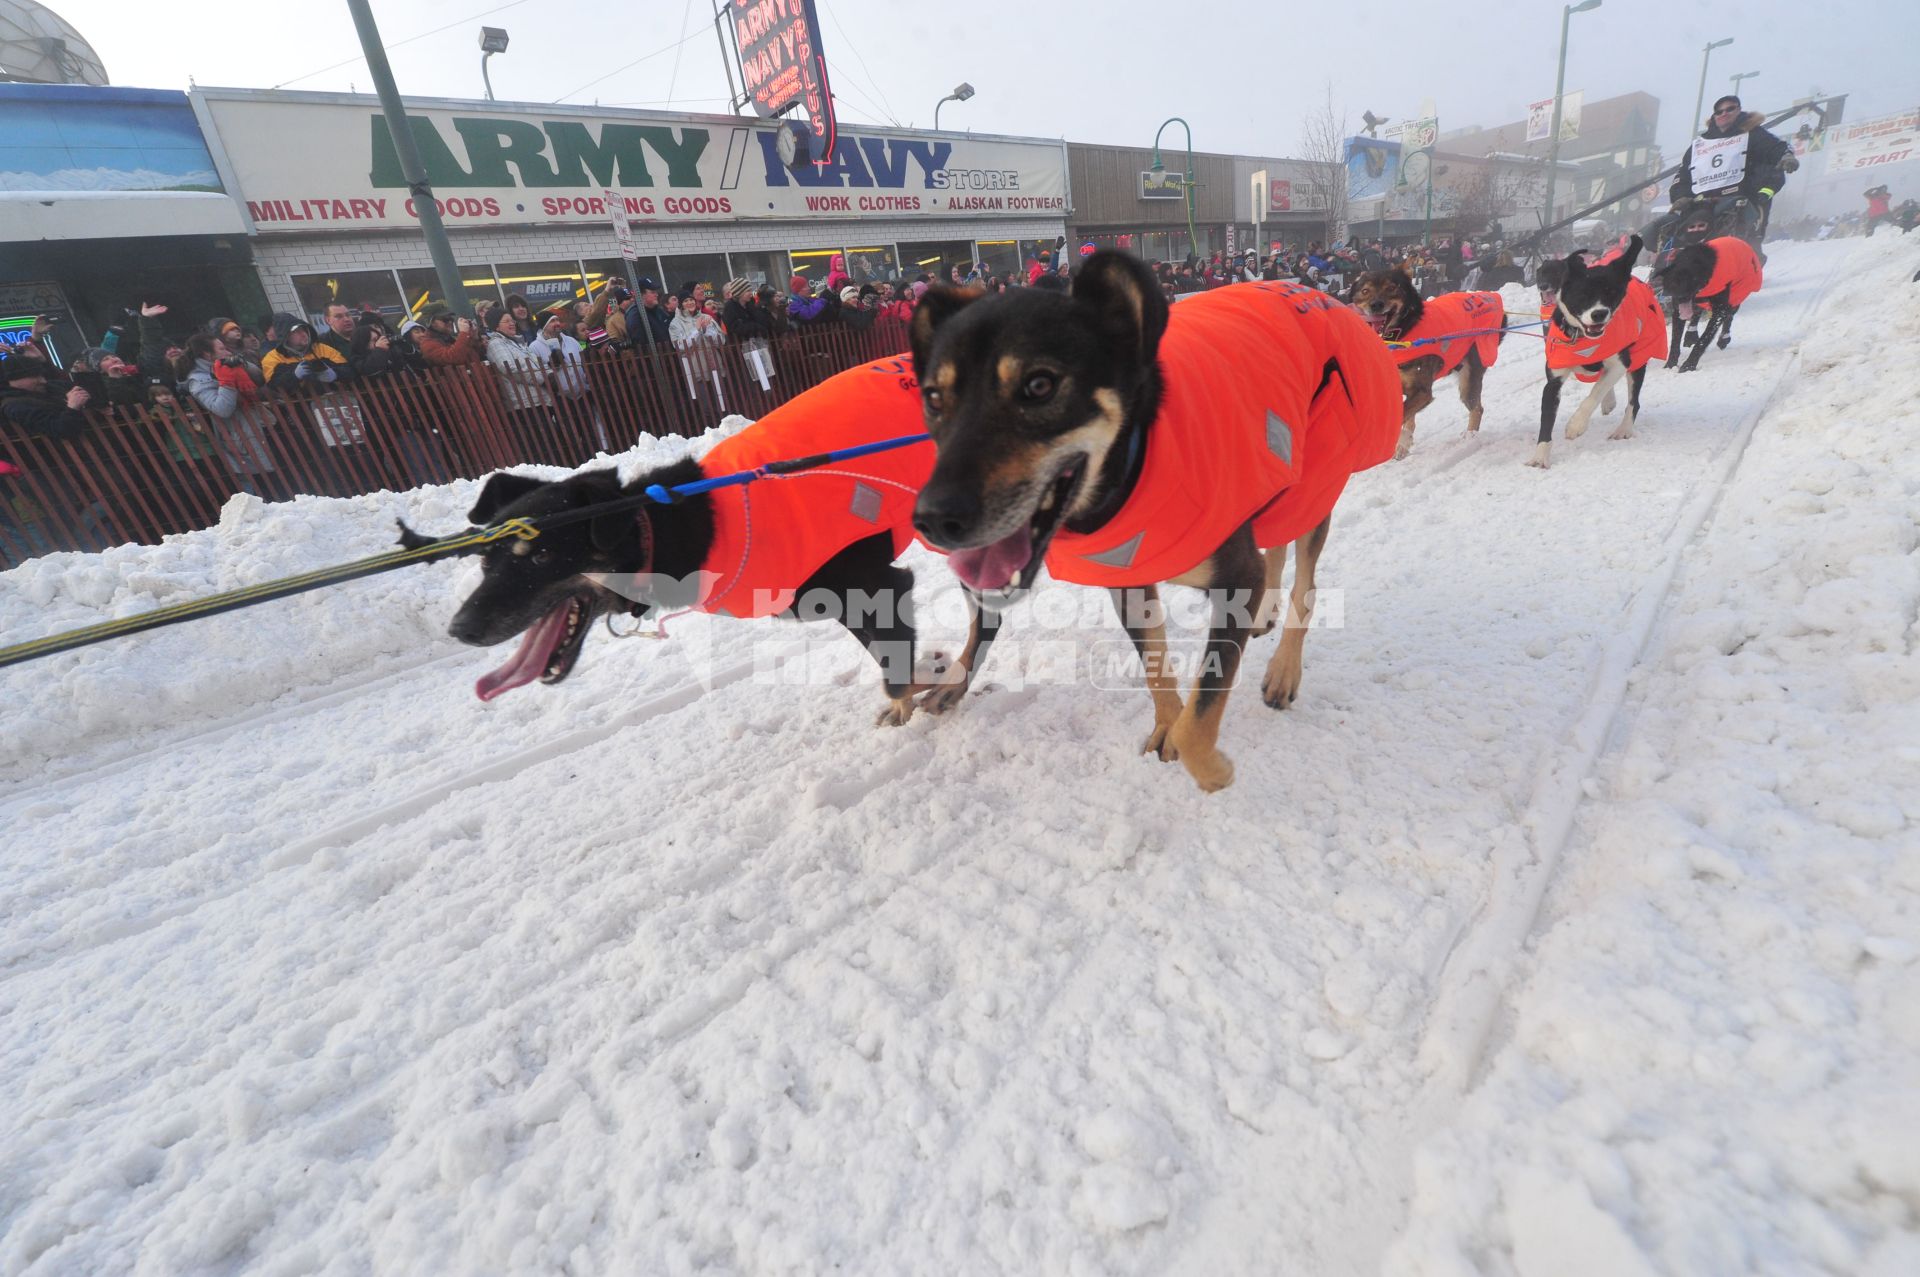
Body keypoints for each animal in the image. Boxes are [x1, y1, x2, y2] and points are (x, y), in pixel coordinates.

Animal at [898, 247, 1397, 787]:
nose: (933, 518)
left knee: (1306, 584)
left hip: (1317, 482)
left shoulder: (1234, 577)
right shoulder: (1129, 582)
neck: (1138, 462)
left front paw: (1214, 770)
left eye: (1039, 384)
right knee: (1276, 547)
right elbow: (1157, 668)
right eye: (933, 397)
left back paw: (1284, 670)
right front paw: (1167, 725)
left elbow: (1202, 714)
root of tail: (1314, 292)